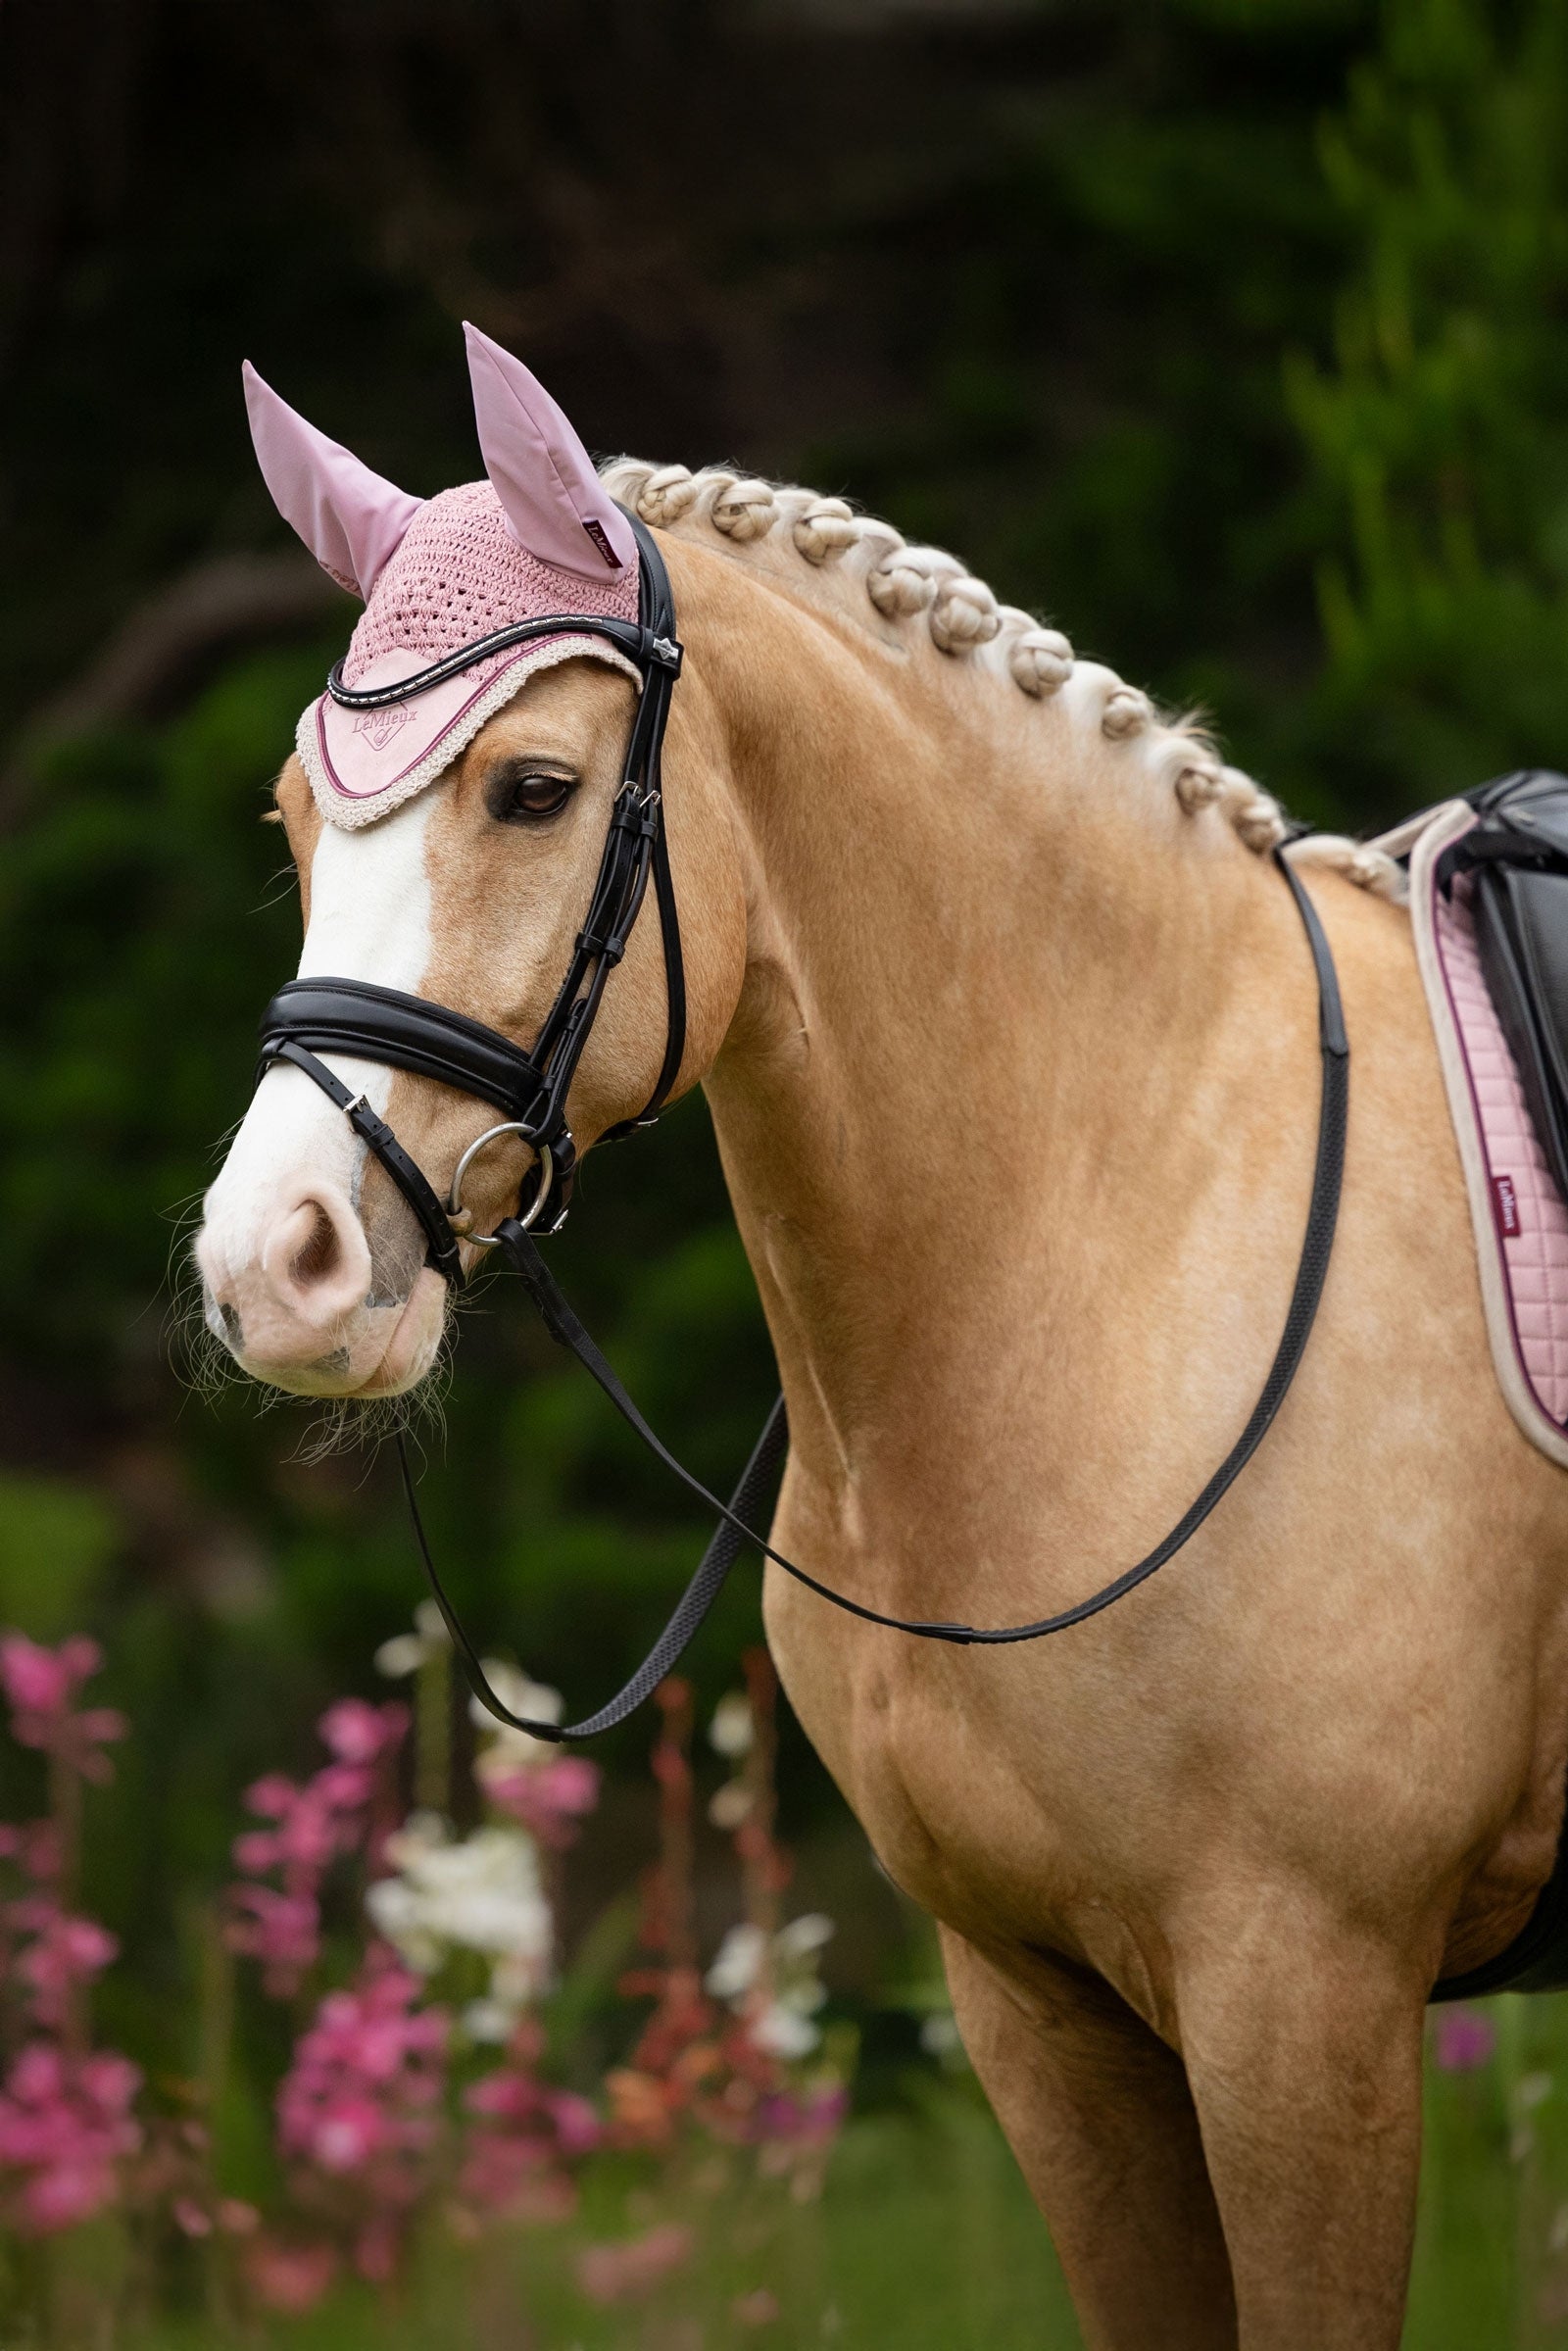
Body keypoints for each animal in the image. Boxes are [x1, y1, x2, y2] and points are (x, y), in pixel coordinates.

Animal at [195, 337, 1568, 2349]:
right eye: (295, 825)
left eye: (532, 788)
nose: (270, 1266)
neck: (1123, 1236)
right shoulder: (1040, 2005)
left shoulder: (1304, 2000)